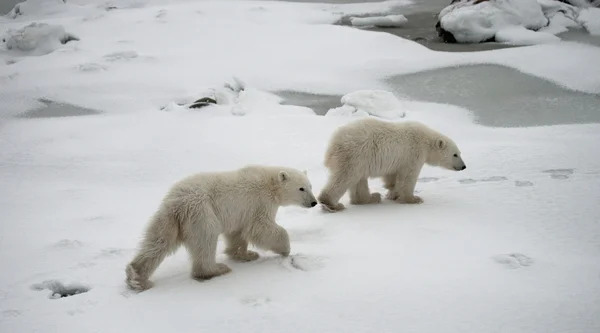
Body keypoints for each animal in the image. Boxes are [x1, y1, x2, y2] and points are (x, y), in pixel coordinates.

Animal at [124, 165, 316, 290]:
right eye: (301, 188)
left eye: (311, 186)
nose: (314, 202)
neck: (270, 182)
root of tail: (177, 203)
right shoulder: (259, 202)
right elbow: (259, 227)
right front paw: (285, 249)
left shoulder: (241, 212)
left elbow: (237, 234)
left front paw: (246, 254)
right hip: (202, 212)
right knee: (206, 240)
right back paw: (215, 269)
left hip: (167, 217)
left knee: (157, 242)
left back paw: (136, 277)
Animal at [316, 118, 466, 211]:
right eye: (455, 154)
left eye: (459, 153)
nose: (464, 166)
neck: (426, 140)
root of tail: (333, 144)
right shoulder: (413, 153)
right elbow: (408, 177)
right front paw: (413, 198)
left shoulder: (397, 160)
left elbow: (391, 176)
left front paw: (392, 192)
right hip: (355, 154)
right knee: (345, 177)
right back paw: (331, 203)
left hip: (359, 160)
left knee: (359, 180)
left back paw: (371, 198)